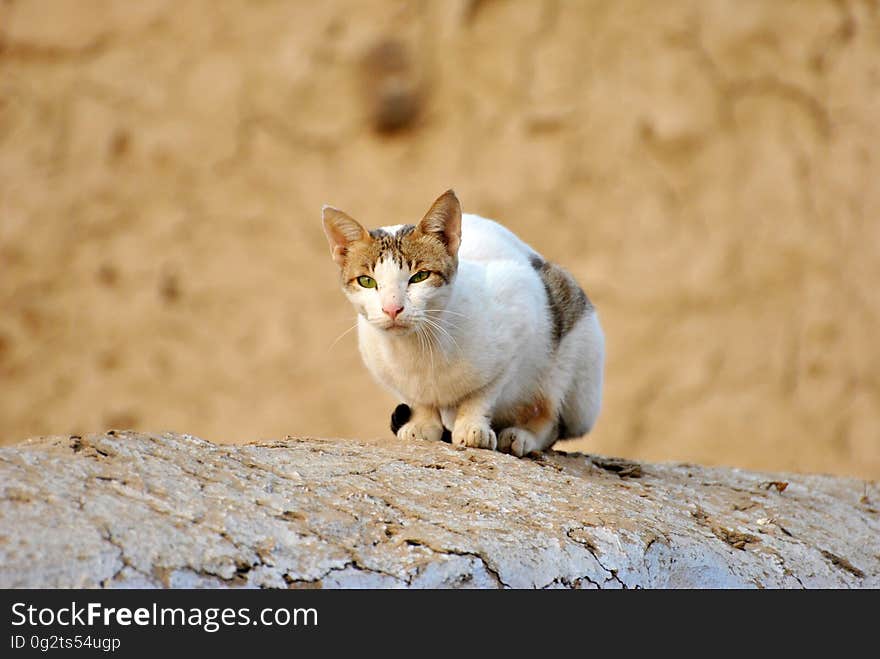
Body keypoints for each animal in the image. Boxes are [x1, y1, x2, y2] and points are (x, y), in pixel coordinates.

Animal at [324, 191, 604, 458]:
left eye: (420, 276)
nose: (392, 309)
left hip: (574, 354)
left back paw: (522, 435)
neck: (419, 348)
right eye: (367, 281)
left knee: (550, 415)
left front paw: (472, 426)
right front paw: (423, 422)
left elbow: (483, 393)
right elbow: (418, 399)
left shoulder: (519, 316)